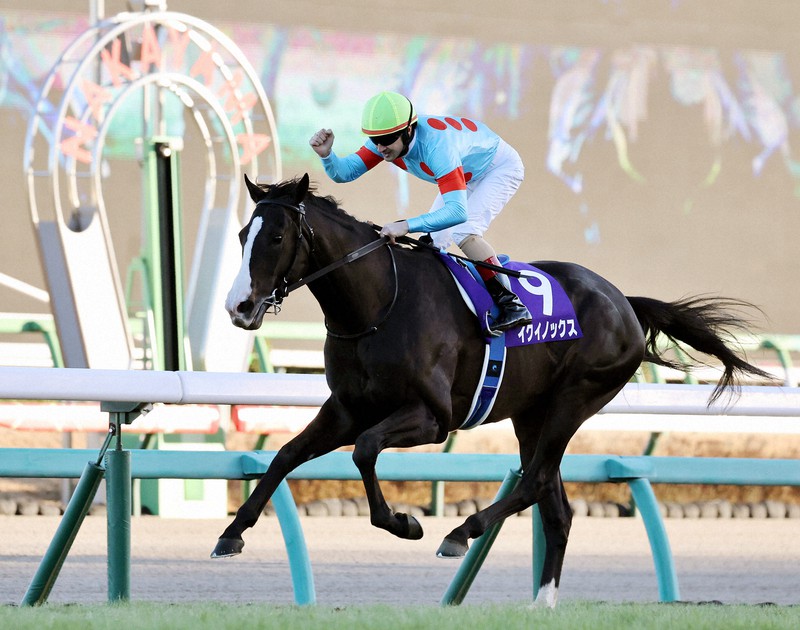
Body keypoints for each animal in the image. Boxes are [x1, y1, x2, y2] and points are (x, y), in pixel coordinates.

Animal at [214, 173, 770, 607]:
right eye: (242, 233)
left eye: (277, 235)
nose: (239, 307)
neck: (378, 306)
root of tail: (624, 302)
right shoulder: (347, 410)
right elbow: (285, 456)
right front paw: (231, 534)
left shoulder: (432, 418)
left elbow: (366, 450)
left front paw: (404, 522)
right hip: (532, 414)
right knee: (555, 505)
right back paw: (540, 605)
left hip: (574, 399)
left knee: (533, 481)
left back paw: (460, 534)